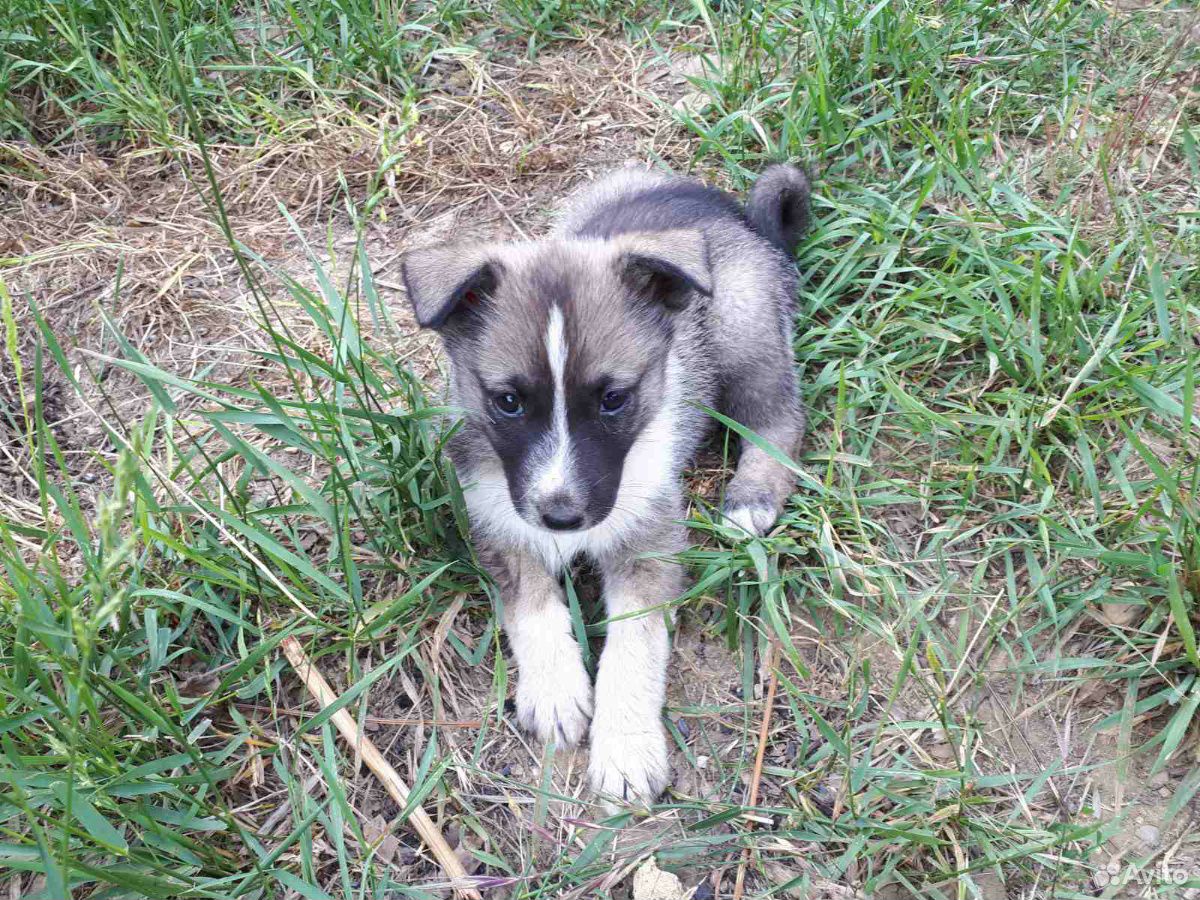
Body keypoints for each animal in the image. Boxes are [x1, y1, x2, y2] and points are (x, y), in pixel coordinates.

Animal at [400, 164, 806, 801]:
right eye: (508, 402)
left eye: (614, 398)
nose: (562, 517)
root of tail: (731, 210)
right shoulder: (498, 524)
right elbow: (532, 608)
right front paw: (555, 691)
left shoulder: (649, 541)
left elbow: (634, 648)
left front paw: (626, 749)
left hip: (744, 325)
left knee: (780, 416)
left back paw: (752, 497)